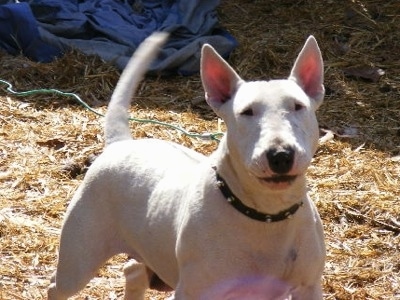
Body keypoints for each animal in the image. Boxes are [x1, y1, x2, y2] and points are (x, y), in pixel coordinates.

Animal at [48, 31, 326, 298]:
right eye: (246, 112)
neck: (267, 214)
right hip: (78, 261)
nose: (280, 155)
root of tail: (121, 143)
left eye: (298, 106)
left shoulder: (308, 287)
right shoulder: (193, 291)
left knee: (133, 271)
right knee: (56, 286)